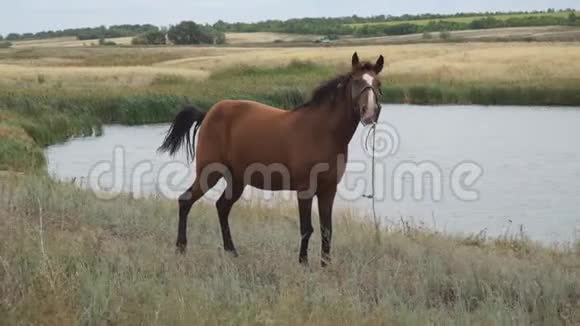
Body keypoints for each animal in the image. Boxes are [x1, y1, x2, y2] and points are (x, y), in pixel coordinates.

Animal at [161, 52, 382, 266]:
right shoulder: (305, 190)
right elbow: (306, 228)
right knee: (186, 201)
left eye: (378, 83)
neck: (321, 131)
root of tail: (207, 113)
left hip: (236, 180)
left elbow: (326, 229)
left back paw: (231, 252)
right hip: (209, 173)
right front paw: (303, 263)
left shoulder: (328, 190)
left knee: (222, 207)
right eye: (356, 82)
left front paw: (326, 265)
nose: (370, 113)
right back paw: (181, 249)